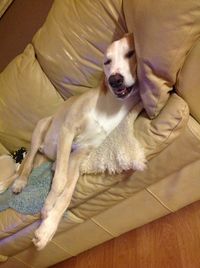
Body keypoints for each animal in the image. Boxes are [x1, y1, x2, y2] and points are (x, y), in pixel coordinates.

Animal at [11, 33, 142, 249]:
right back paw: (19, 183)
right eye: (107, 61)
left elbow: (67, 194)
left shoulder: (79, 153)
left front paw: (47, 230)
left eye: (131, 53)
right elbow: (60, 182)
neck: (112, 106)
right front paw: (48, 207)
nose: (114, 80)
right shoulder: (67, 131)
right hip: (40, 129)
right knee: (28, 161)